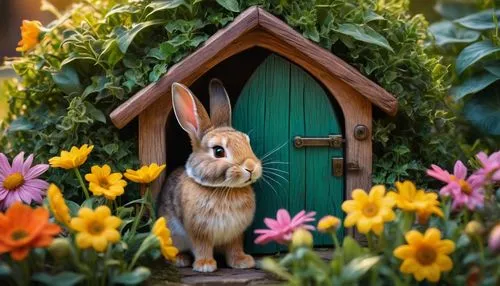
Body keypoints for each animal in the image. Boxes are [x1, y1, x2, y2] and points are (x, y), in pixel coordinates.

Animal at [159, 79, 262, 272]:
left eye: (247, 142)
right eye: (218, 151)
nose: (251, 167)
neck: (224, 189)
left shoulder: (235, 233)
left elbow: (234, 247)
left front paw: (242, 262)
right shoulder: (199, 232)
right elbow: (202, 247)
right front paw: (205, 265)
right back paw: (180, 260)